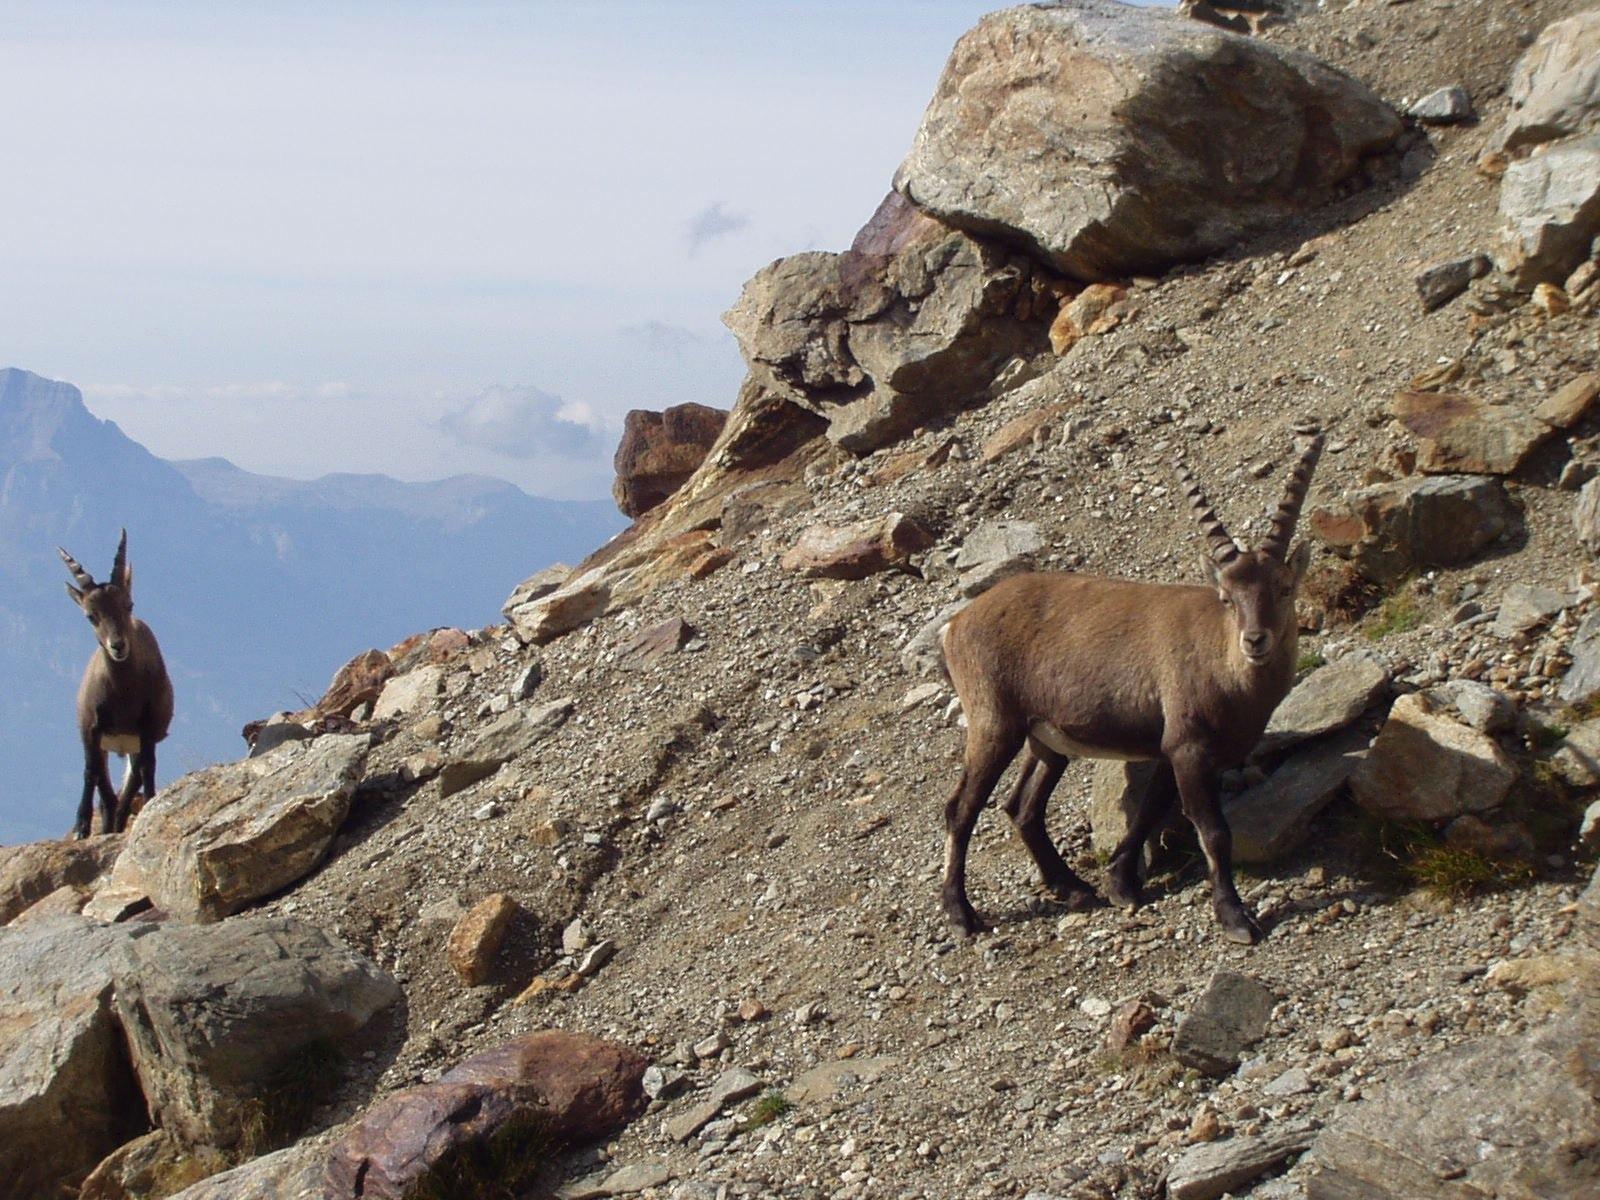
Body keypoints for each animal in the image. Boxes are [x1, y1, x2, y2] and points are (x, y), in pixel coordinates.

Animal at [61, 530, 174, 839]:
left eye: (128, 605)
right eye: (91, 615)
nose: (118, 646)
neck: (123, 693)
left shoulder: (148, 729)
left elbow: (147, 770)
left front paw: (151, 804)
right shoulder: (90, 729)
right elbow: (91, 772)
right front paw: (81, 827)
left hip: (133, 744)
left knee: (130, 783)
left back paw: (119, 821)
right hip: (107, 742)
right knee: (106, 790)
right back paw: (107, 824)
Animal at [937, 425, 1323, 944]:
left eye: (1283, 588)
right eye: (1226, 596)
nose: (1255, 640)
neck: (1224, 665)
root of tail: (956, 625)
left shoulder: (1169, 746)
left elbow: (1149, 809)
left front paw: (1121, 883)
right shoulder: (1188, 746)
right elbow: (1212, 831)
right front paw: (1235, 917)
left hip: (1047, 741)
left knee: (1023, 807)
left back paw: (1072, 887)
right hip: (994, 724)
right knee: (961, 808)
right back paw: (960, 913)